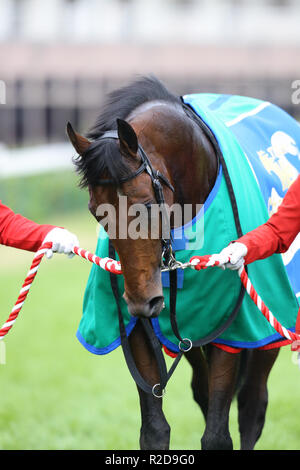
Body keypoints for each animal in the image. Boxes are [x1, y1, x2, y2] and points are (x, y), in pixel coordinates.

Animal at [67, 75, 278, 450]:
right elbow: (154, 430)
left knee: (253, 404)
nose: (143, 302)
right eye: (96, 212)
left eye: (147, 204)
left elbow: (217, 435)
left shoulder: (232, 325)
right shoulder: (142, 331)